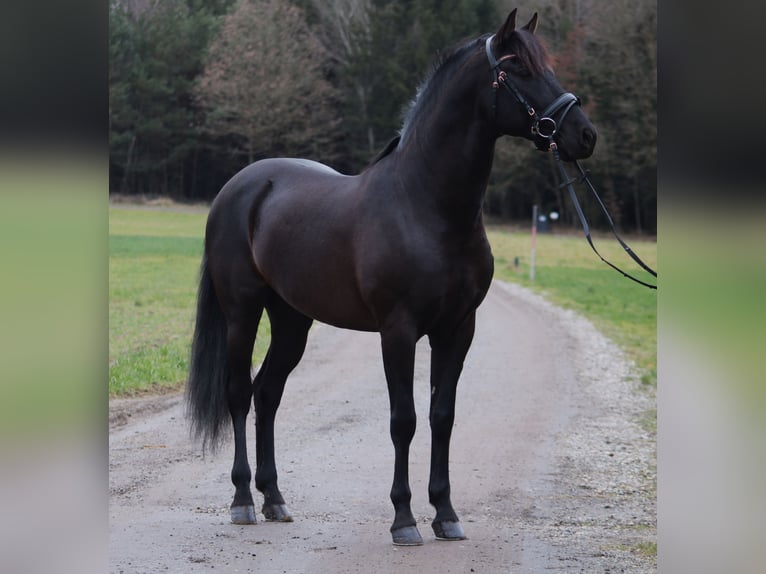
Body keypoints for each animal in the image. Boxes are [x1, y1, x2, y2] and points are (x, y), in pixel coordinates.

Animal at [188, 10, 600, 548]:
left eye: (548, 64)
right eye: (519, 68)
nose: (585, 135)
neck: (426, 205)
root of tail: (240, 187)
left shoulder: (458, 329)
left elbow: (442, 416)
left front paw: (445, 513)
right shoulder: (398, 330)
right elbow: (403, 420)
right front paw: (404, 519)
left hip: (293, 320)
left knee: (267, 393)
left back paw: (275, 498)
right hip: (242, 312)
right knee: (239, 393)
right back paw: (242, 501)